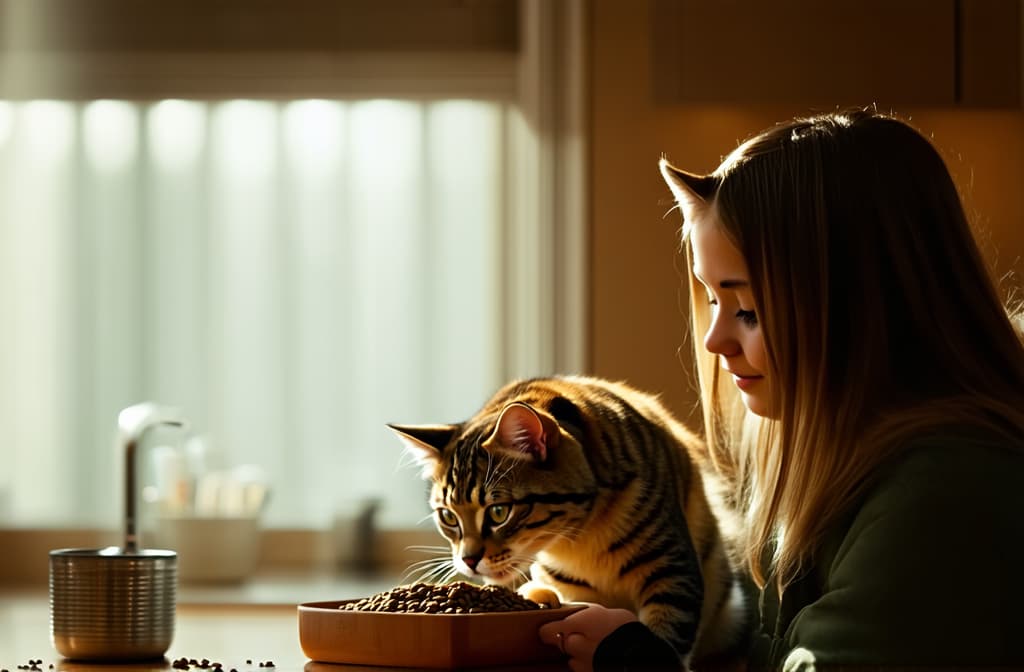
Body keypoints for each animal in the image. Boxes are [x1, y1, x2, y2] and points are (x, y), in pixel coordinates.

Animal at [387, 374, 749, 663]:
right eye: (448, 516)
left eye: (499, 511)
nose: (469, 561)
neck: (583, 535)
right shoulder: (571, 585)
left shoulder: (673, 570)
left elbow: (667, 636)